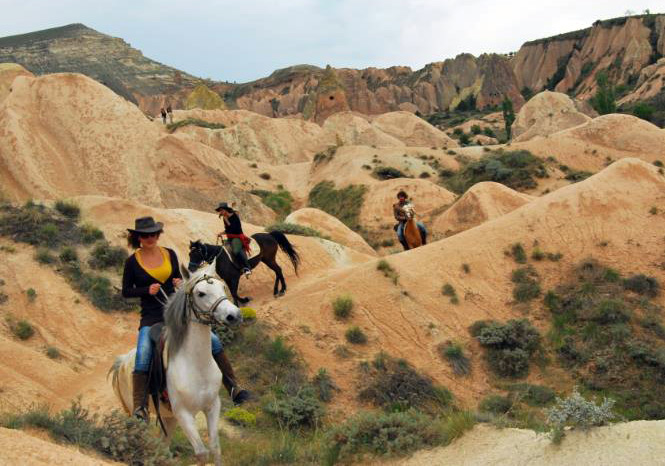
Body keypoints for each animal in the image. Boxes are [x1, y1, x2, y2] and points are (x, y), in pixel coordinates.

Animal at [110, 262, 240, 466]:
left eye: (222, 287)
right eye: (201, 293)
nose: (233, 315)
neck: (196, 366)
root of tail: (122, 361)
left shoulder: (212, 406)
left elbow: (215, 448)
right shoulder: (183, 413)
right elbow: (202, 453)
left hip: (168, 417)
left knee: (163, 445)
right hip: (137, 413)